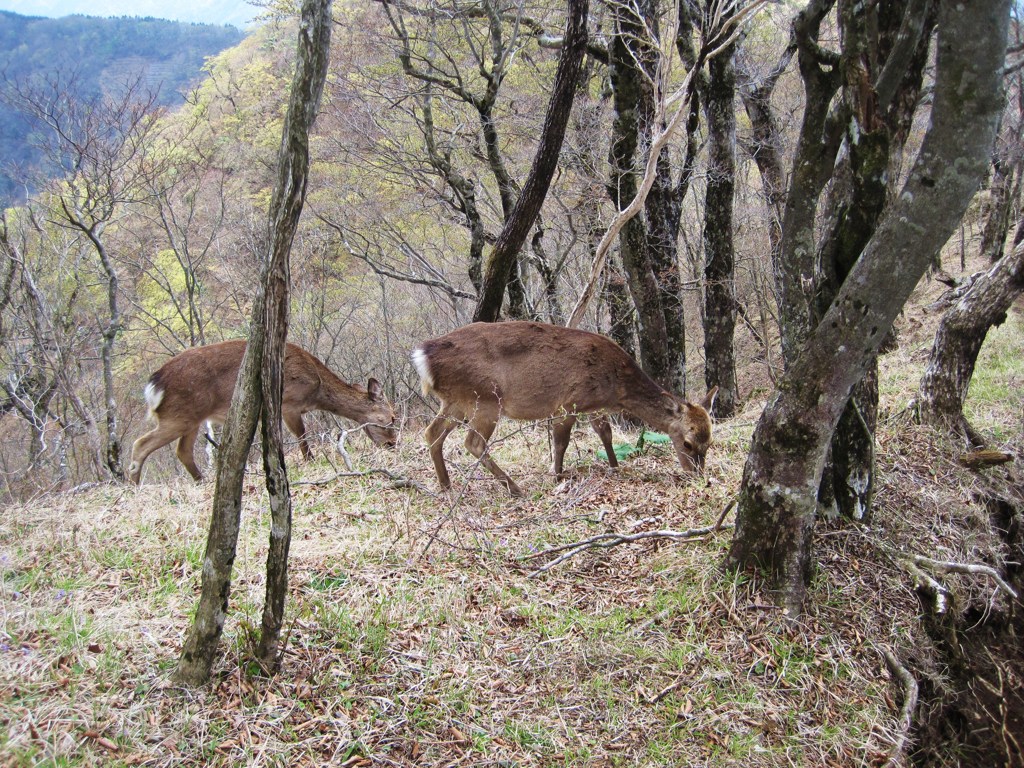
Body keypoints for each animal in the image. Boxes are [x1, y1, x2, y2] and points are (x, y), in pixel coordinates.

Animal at [126, 339, 395, 483]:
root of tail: (154, 384)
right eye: (391, 418)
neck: (317, 388)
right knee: (140, 444)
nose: (392, 444)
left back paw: (202, 481)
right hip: (178, 414)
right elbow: (301, 436)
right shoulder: (289, 402)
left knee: (182, 452)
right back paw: (135, 486)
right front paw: (310, 462)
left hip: (192, 418)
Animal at [411, 319, 716, 495]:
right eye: (687, 443)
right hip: (485, 397)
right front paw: (557, 475)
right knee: (473, 442)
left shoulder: (593, 405)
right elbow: (561, 442)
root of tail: (423, 357)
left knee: (432, 433)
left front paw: (615, 467)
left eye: (710, 442)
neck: (616, 384)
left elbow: (605, 433)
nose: (698, 475)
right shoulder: (569, 402)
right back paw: (514, 488)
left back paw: (446, 486)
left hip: (456, 401)